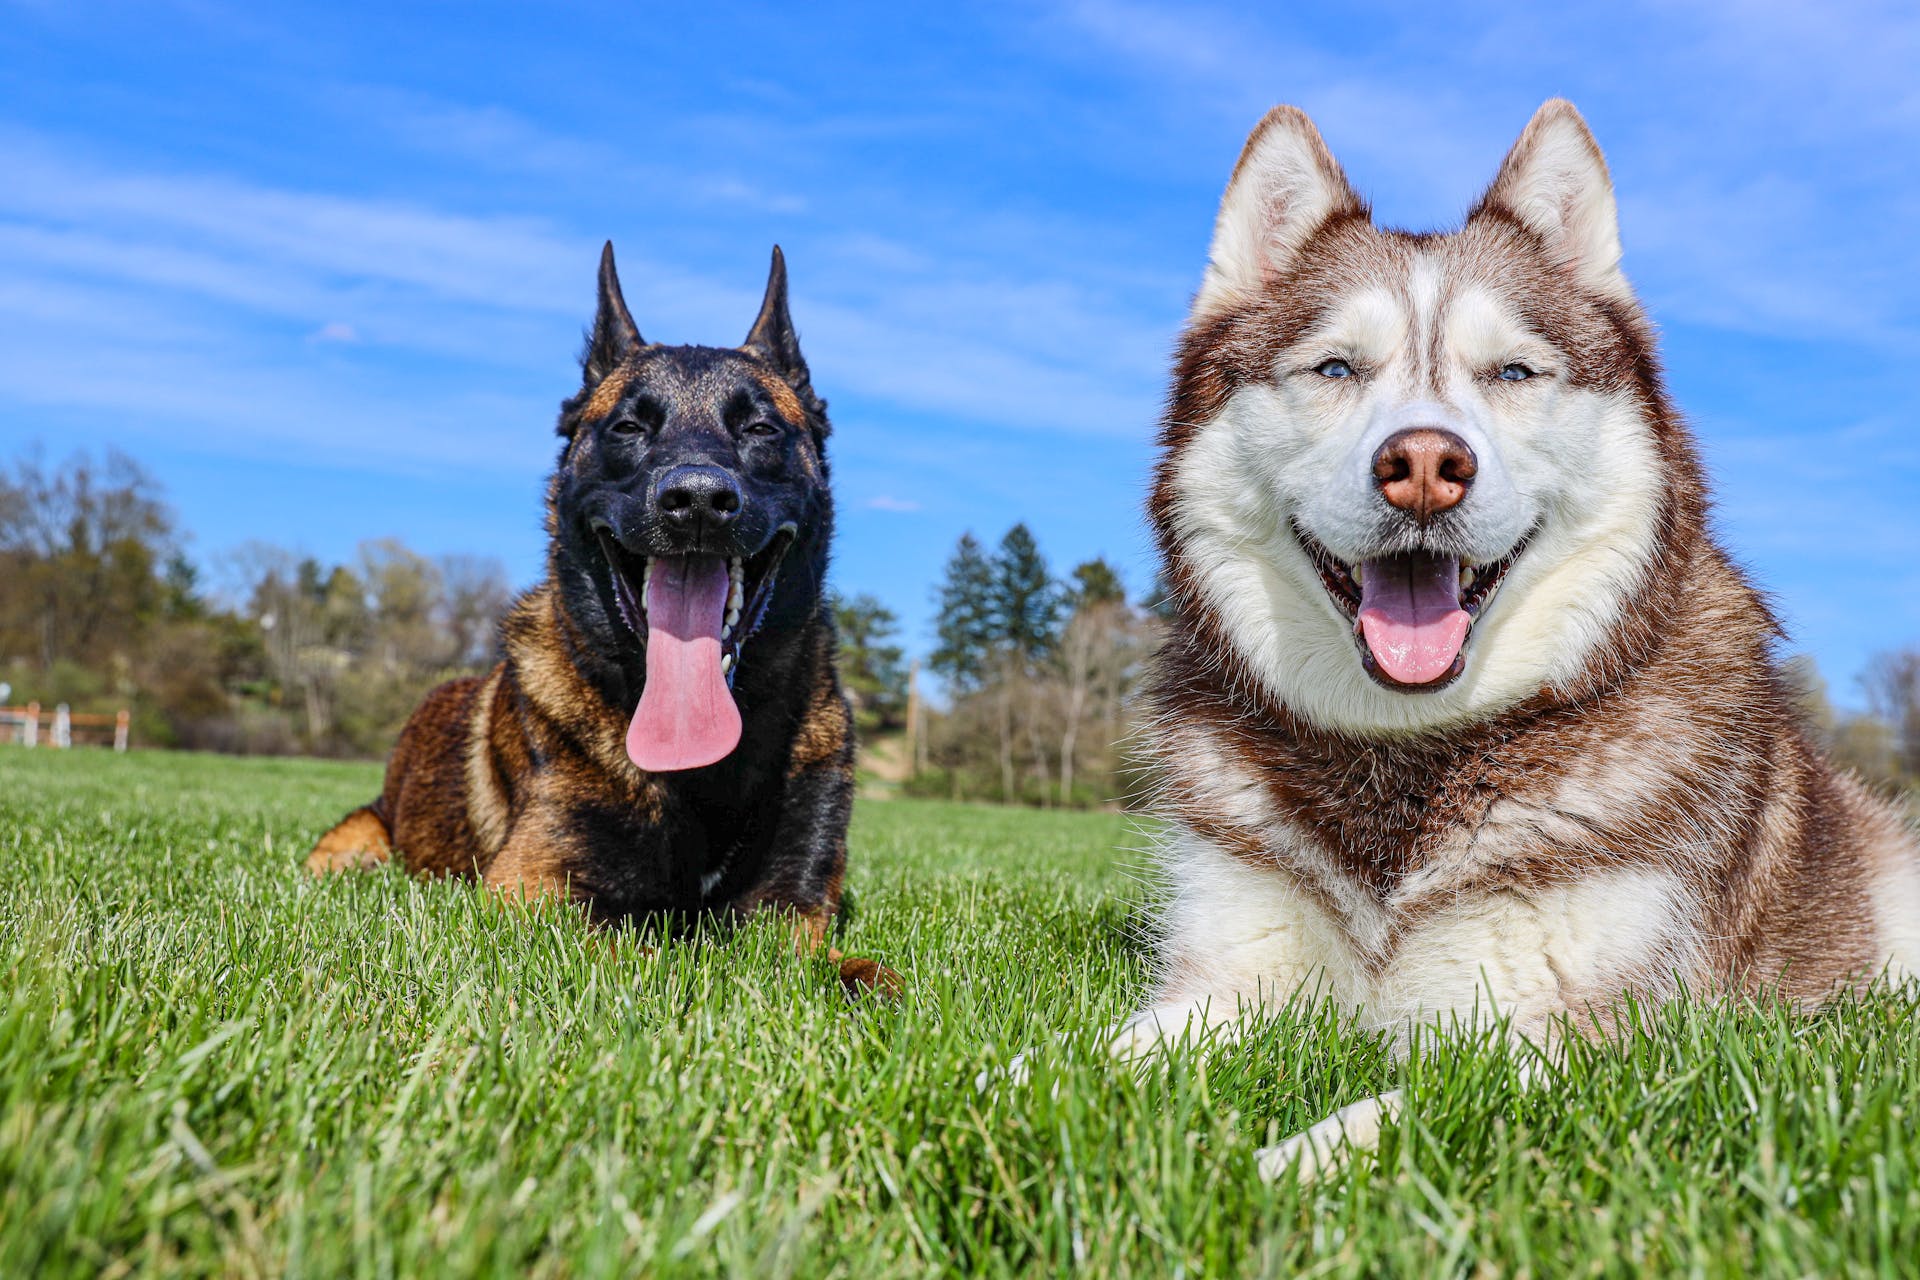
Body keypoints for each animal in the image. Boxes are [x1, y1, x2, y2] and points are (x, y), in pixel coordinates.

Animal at [307, 245, 890, 997]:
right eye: (628, 428)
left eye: (760, 429)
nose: (697, 501)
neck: (697, 770)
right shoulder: (535, 893)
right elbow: (658, 960)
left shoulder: (791, 905)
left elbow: (822, 964)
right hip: (352, 846)